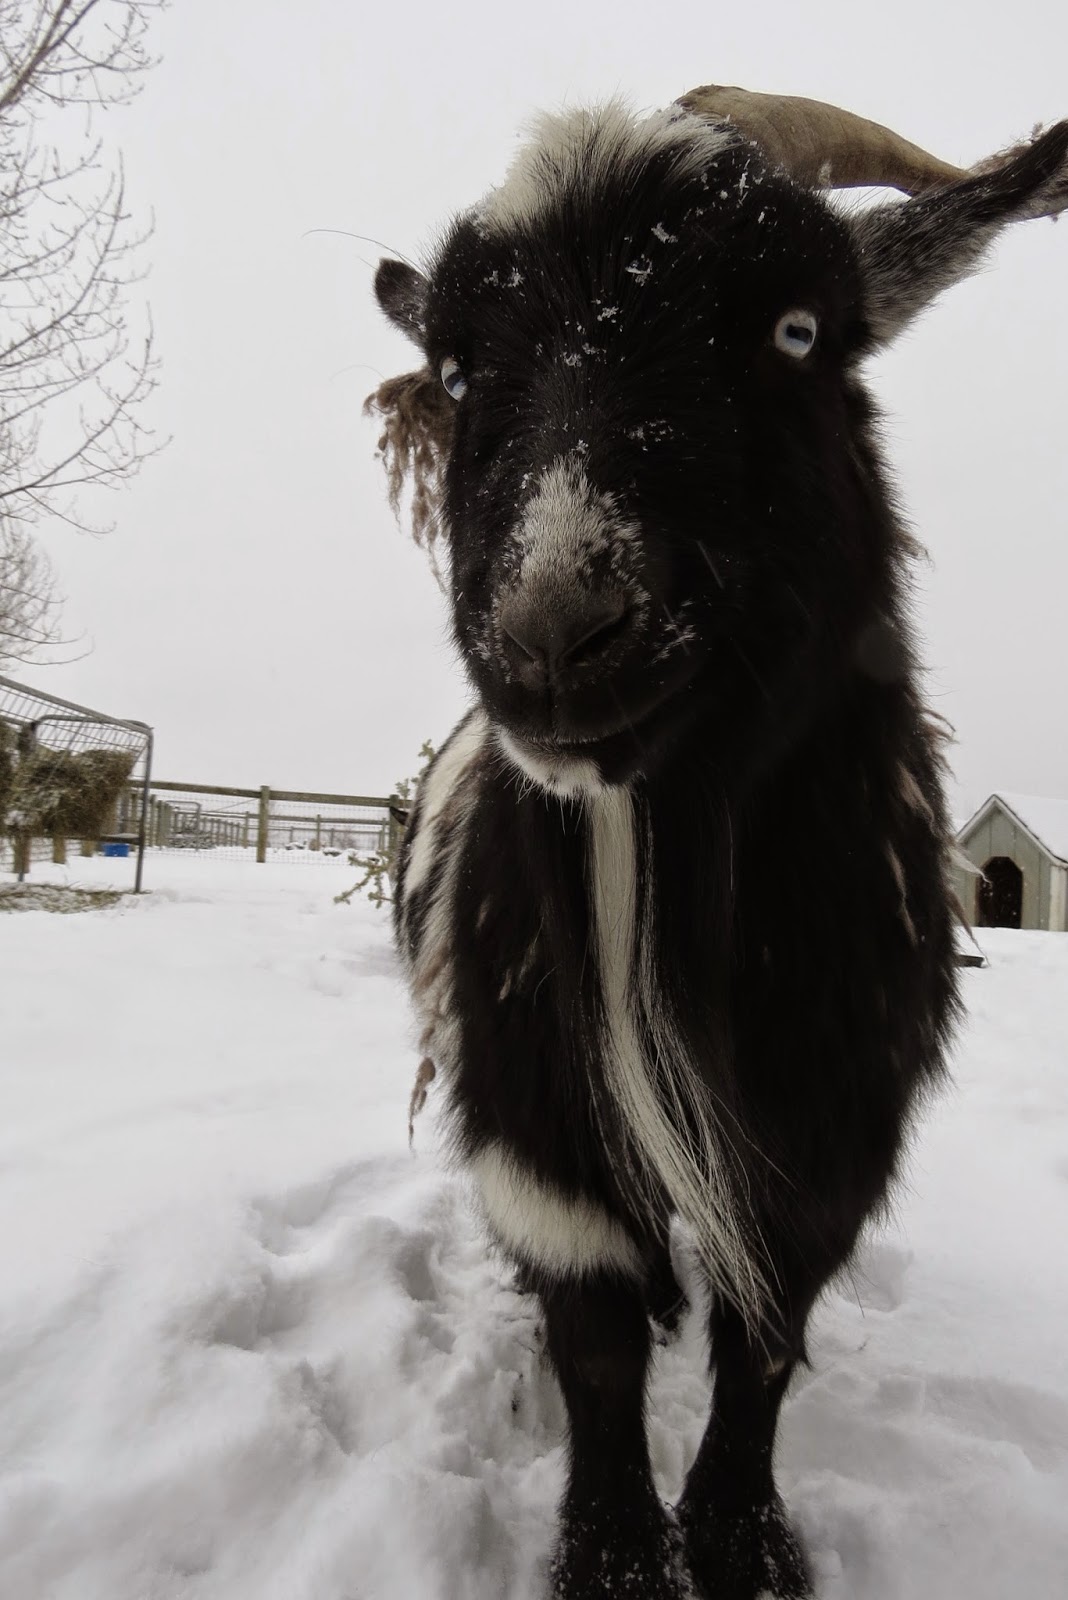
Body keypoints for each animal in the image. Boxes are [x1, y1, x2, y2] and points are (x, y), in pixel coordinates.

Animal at [369, 87, 1068, 1600]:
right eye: (455, 368)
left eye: (799, 332)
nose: (555, 631)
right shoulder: (533, 1113)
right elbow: (593, 1338)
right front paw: (615, 1550)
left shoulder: (837, 1121)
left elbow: (765, 1340)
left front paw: (742, 1538)